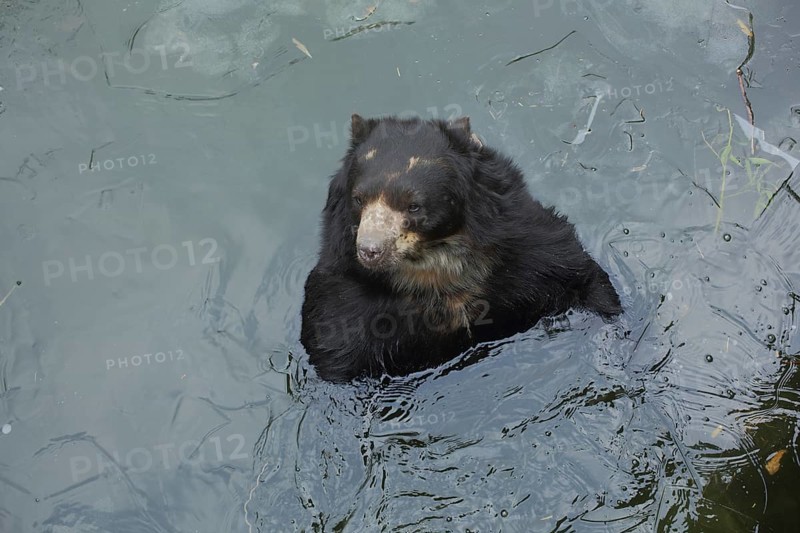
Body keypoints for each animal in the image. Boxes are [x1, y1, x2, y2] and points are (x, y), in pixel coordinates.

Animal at [300, 114, 621, 383]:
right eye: (358, 199)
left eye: (414, 205)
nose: (370, 250)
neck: (434, 267)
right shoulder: (345, 298)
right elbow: (333, 347)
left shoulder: (528, 249)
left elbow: (581, 275)